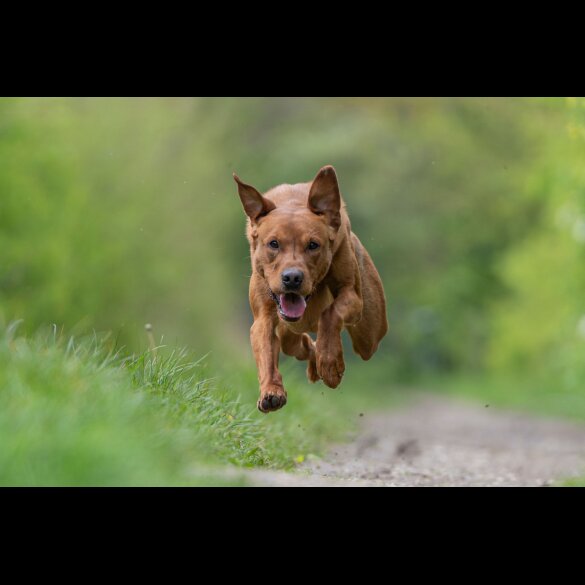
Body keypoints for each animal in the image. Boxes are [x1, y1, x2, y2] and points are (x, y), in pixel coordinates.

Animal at [233, 164, 388, 410]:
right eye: (273, 244)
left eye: (313, 245)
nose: (292, 278)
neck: (292, 201)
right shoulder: (263, 316)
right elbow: (265, 352)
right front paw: (271, 390)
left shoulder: (353, 296)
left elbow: (330, 313)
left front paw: (330, 363)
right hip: (289, 333)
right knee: (296, 343)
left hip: (369, 335)